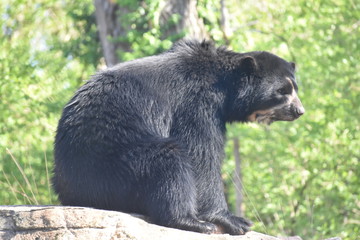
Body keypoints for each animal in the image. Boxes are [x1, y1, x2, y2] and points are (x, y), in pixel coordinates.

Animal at [53, 39, 306, 234]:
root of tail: (70, 193)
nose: (299, 111)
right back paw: (192, 222)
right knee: (169, 160)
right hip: (113, 165)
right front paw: (233, 220)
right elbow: (201, 152)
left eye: (295, 88)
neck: (224, 84)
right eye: (281, 91)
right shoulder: (195, 103)